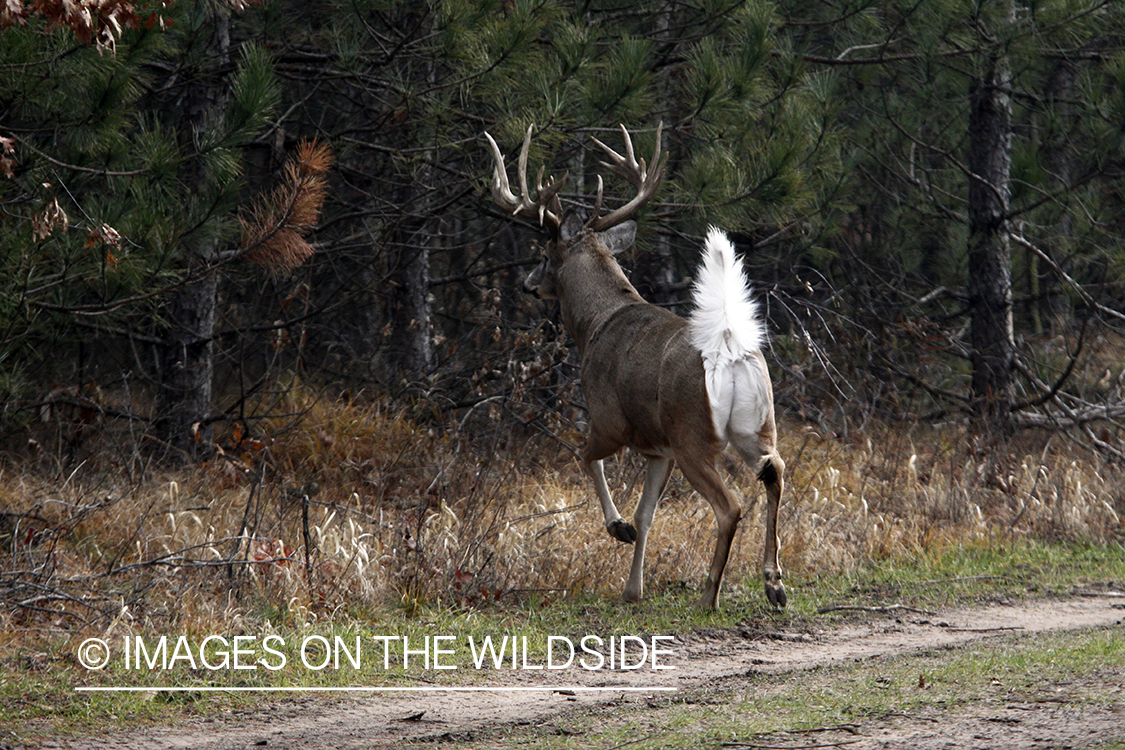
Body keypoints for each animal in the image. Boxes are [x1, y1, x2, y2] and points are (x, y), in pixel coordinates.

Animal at [484, 123, 786, 609]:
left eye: (545, 254)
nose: (529, 285)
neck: (595, 323)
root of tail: (727, 353)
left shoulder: (610, 419)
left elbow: (585, 457)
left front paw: (617, 528)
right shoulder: (659, 449)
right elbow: (647, 514)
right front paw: (632, 589)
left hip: (692, 434)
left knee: (732, 505)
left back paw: (710, 594)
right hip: (756, 425)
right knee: (774, 472)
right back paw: (774, 583)